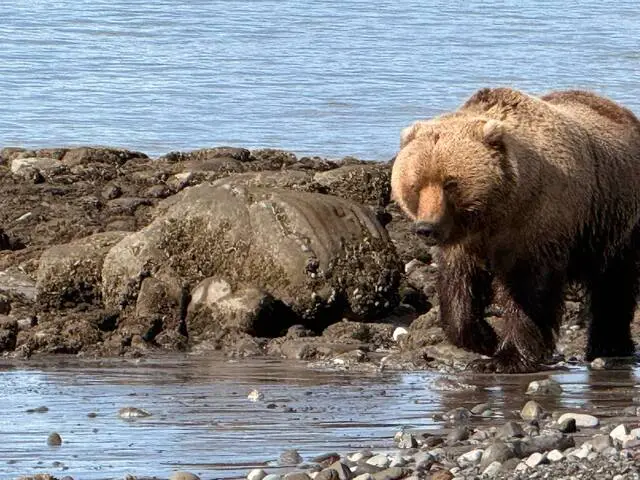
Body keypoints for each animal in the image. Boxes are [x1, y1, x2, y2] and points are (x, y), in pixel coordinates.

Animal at [391, 87, 640, 373]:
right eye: (416, 184)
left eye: (450, 183)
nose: (426, 228)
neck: (499, 212)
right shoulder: (465, 241)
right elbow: (458, 285)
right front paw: (484, 338)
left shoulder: (536, 227)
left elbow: (528, 292)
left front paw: (507, 357)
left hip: (612, 216)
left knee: (614, 280)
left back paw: (609, 346)